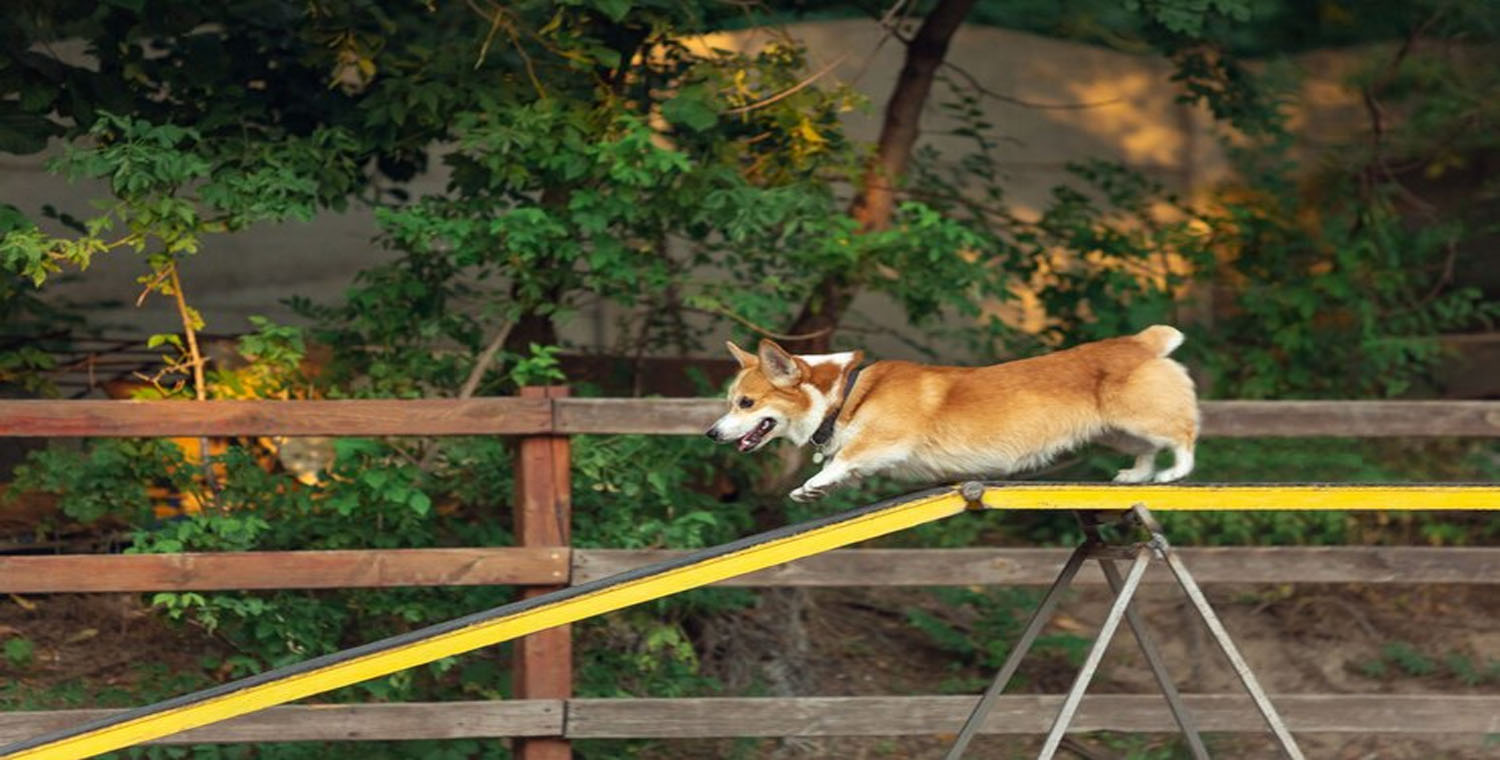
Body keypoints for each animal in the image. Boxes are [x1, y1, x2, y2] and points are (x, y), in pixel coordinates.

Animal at [705, 325, 1206, 500]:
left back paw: (1173, 473)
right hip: (1115, 432)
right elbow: (841, 465)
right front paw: (815, 488)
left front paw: (814, 481)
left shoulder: (884, 440)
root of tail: (1142, 342)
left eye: (745, 403)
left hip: (1141, 418)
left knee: (1183, 436)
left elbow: (843, 458)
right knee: (1145, 451)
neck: (845, 393)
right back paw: (1135, 476)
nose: (711, 433)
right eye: (731, 401)